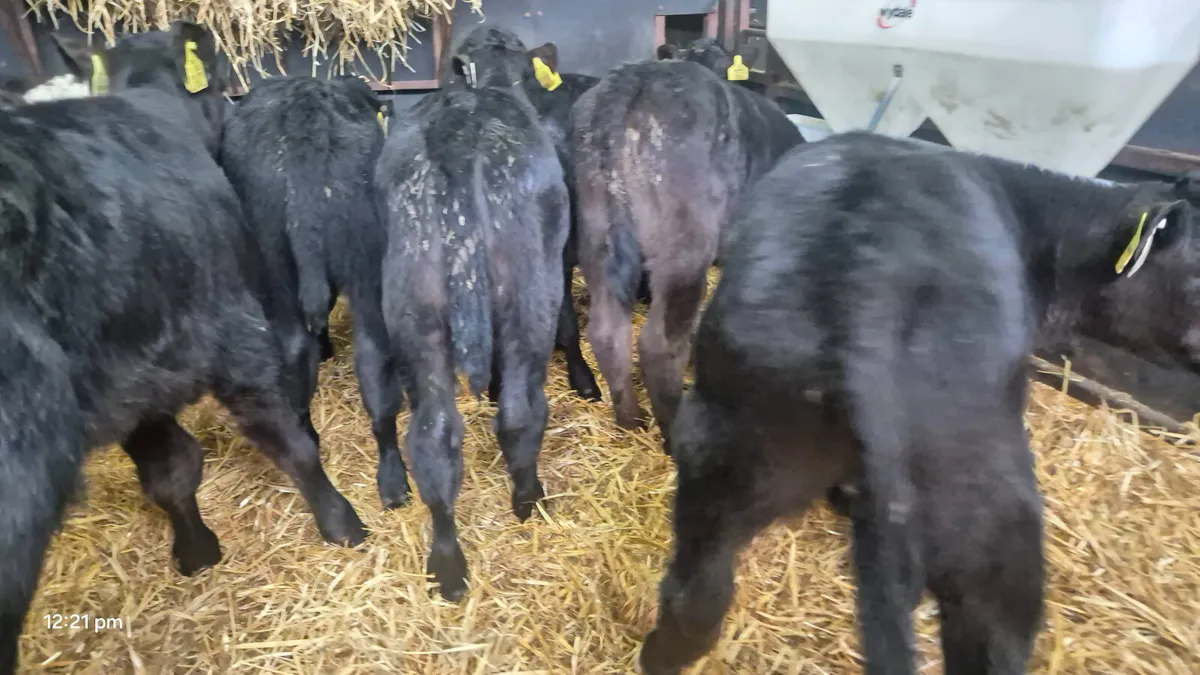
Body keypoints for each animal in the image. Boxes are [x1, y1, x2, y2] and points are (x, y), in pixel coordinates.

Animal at [0, 24, 365, 674]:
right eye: (219, 86)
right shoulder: (226, 333)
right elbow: (283, 443)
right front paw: (340, 520)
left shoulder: (133, 387)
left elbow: (173, 472)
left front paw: (196, 551)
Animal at [375, 26, 570, 602]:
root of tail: (460, 140)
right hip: (533, 294)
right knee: (521, 410)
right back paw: (528, 499)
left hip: (420, 311)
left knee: (437, 435)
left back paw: (448, 565)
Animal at [572, 53, 803, 442]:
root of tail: (636, 81)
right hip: (684, 247)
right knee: (659, 344)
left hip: (598, 234)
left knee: (607, 333)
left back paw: (630, 420)